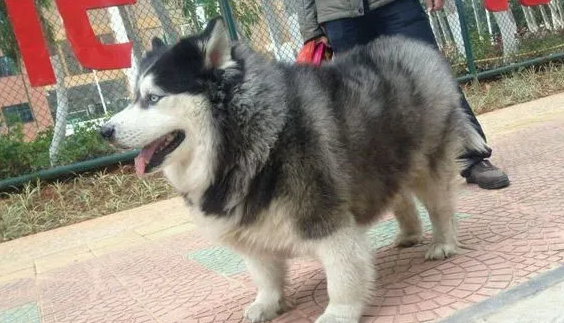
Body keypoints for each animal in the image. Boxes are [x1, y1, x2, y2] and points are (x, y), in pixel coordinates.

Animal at [100, 17, 484, 323]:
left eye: (153, 98)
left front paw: (339, 312)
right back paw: (408, 234)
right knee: (399, 196)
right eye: (134, 97)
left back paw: (443, 242)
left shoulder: (324, 217)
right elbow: (264, 273)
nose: (104, 131)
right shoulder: (250, 229)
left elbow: (343, 273)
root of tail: (414, 45)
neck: (248, 134)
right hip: (383, 162)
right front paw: (268, 303)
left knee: (439, 205)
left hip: (426, 165)